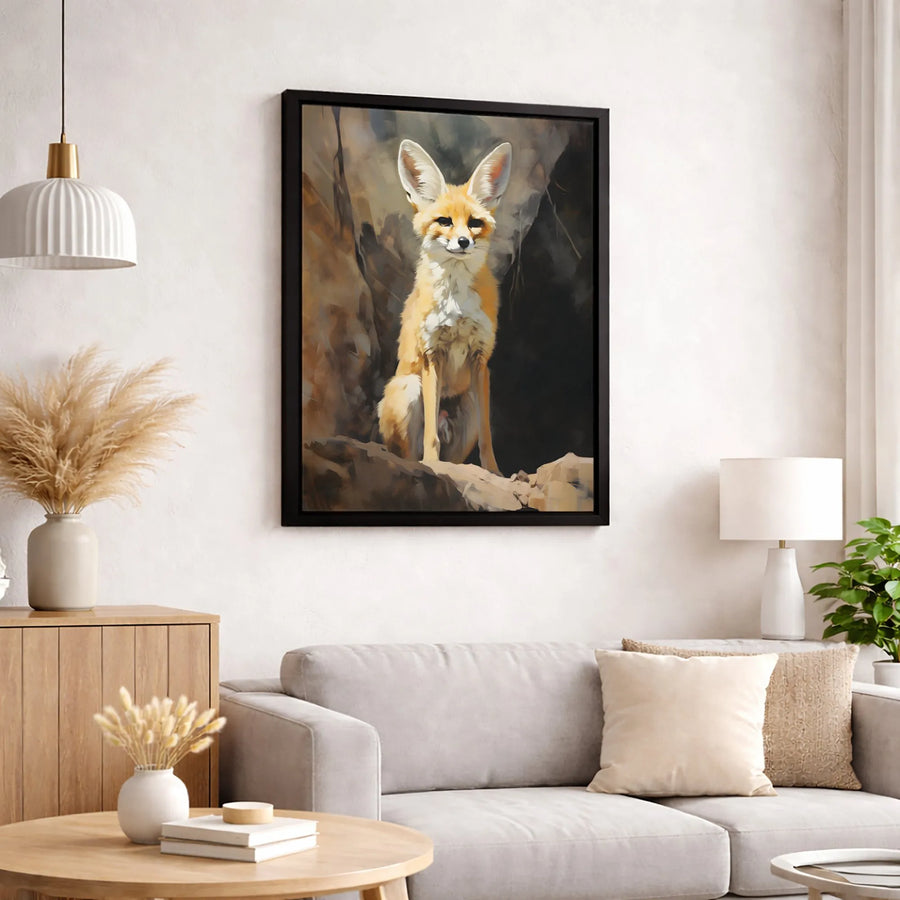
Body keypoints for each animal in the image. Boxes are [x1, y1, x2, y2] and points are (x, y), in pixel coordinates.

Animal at [377, 138, 512, 476]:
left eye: (475, 224)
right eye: (444, 222)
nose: (463, 242)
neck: (456, 301)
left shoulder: (481, 358)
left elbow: (488, 437)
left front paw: (495, 473)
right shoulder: (431, 353)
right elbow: (430, 436)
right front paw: (432, 465)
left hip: (470, 404)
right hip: (409, 387)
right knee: (409, 454)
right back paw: (421, 466)